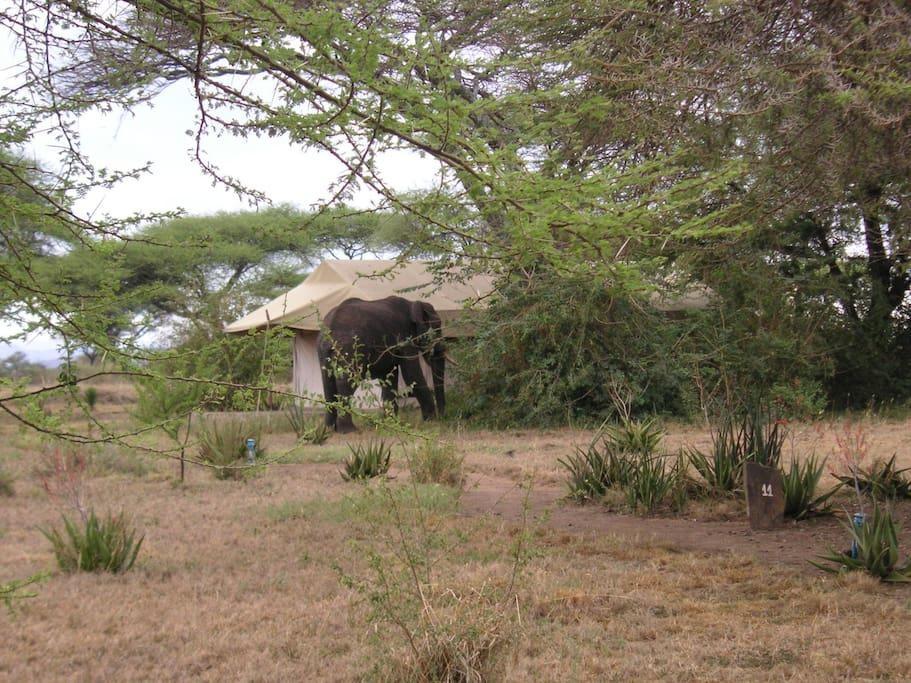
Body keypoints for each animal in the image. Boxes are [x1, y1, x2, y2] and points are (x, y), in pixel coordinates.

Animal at [318, 296, 446, 432]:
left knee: (328, 382)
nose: (442, 418)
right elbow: (411, 373)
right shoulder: (404, 337)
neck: (413, 303)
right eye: (438, 327)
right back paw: (349, 431)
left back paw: (329, 429)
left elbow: (388, 376)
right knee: (346, 382)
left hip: (323, 350)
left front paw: (391, 424)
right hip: (348, 348)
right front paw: (430, 422)